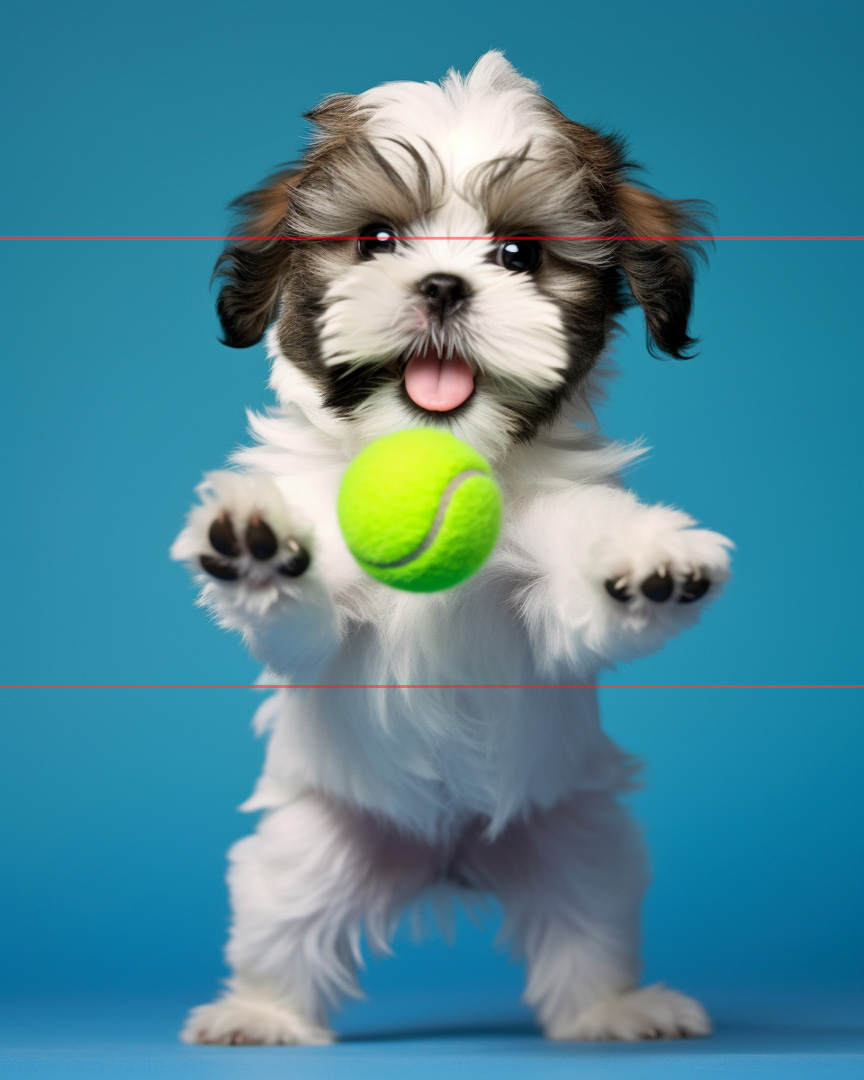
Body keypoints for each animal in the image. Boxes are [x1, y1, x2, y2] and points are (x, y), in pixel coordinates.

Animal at [171, 52, 734, 1045]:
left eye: (518, 253)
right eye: (376, 238)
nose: (441, 284)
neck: (436, 444)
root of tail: (448, 854)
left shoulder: (546, 570)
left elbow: (577, 590)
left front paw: (647, 566)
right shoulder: (324, 622)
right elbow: (306, 623)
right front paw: (258, 543)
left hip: (579, 836)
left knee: (589, 921)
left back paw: (615, 1006)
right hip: (308, 847)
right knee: (284, 922)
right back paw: (262, 1012)